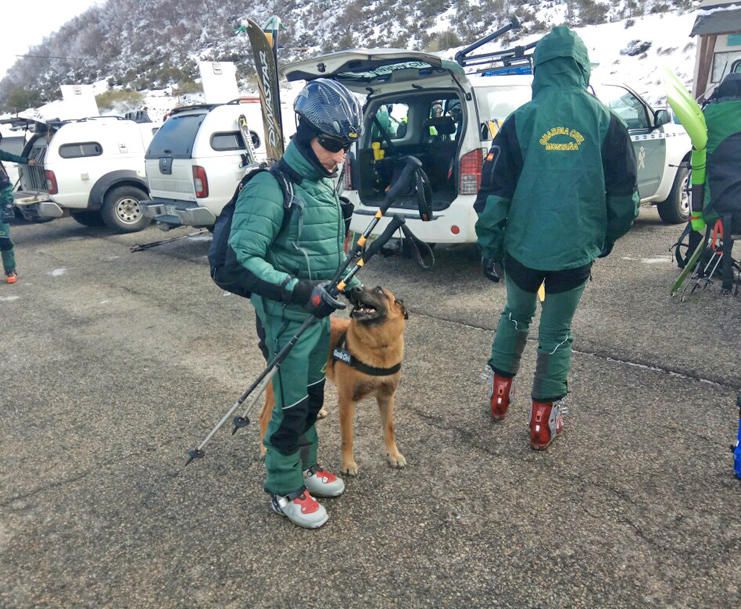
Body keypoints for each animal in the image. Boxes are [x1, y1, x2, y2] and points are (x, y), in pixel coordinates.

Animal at [258, 284, 410, 476]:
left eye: (379, 291)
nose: (355, 288)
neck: (377, 347)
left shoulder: (387, 397)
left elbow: (389, 429)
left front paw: (394, 455)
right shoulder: (346, 400)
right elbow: (348, 437)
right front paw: (348, 464)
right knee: (263, 416)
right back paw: (264, 448)